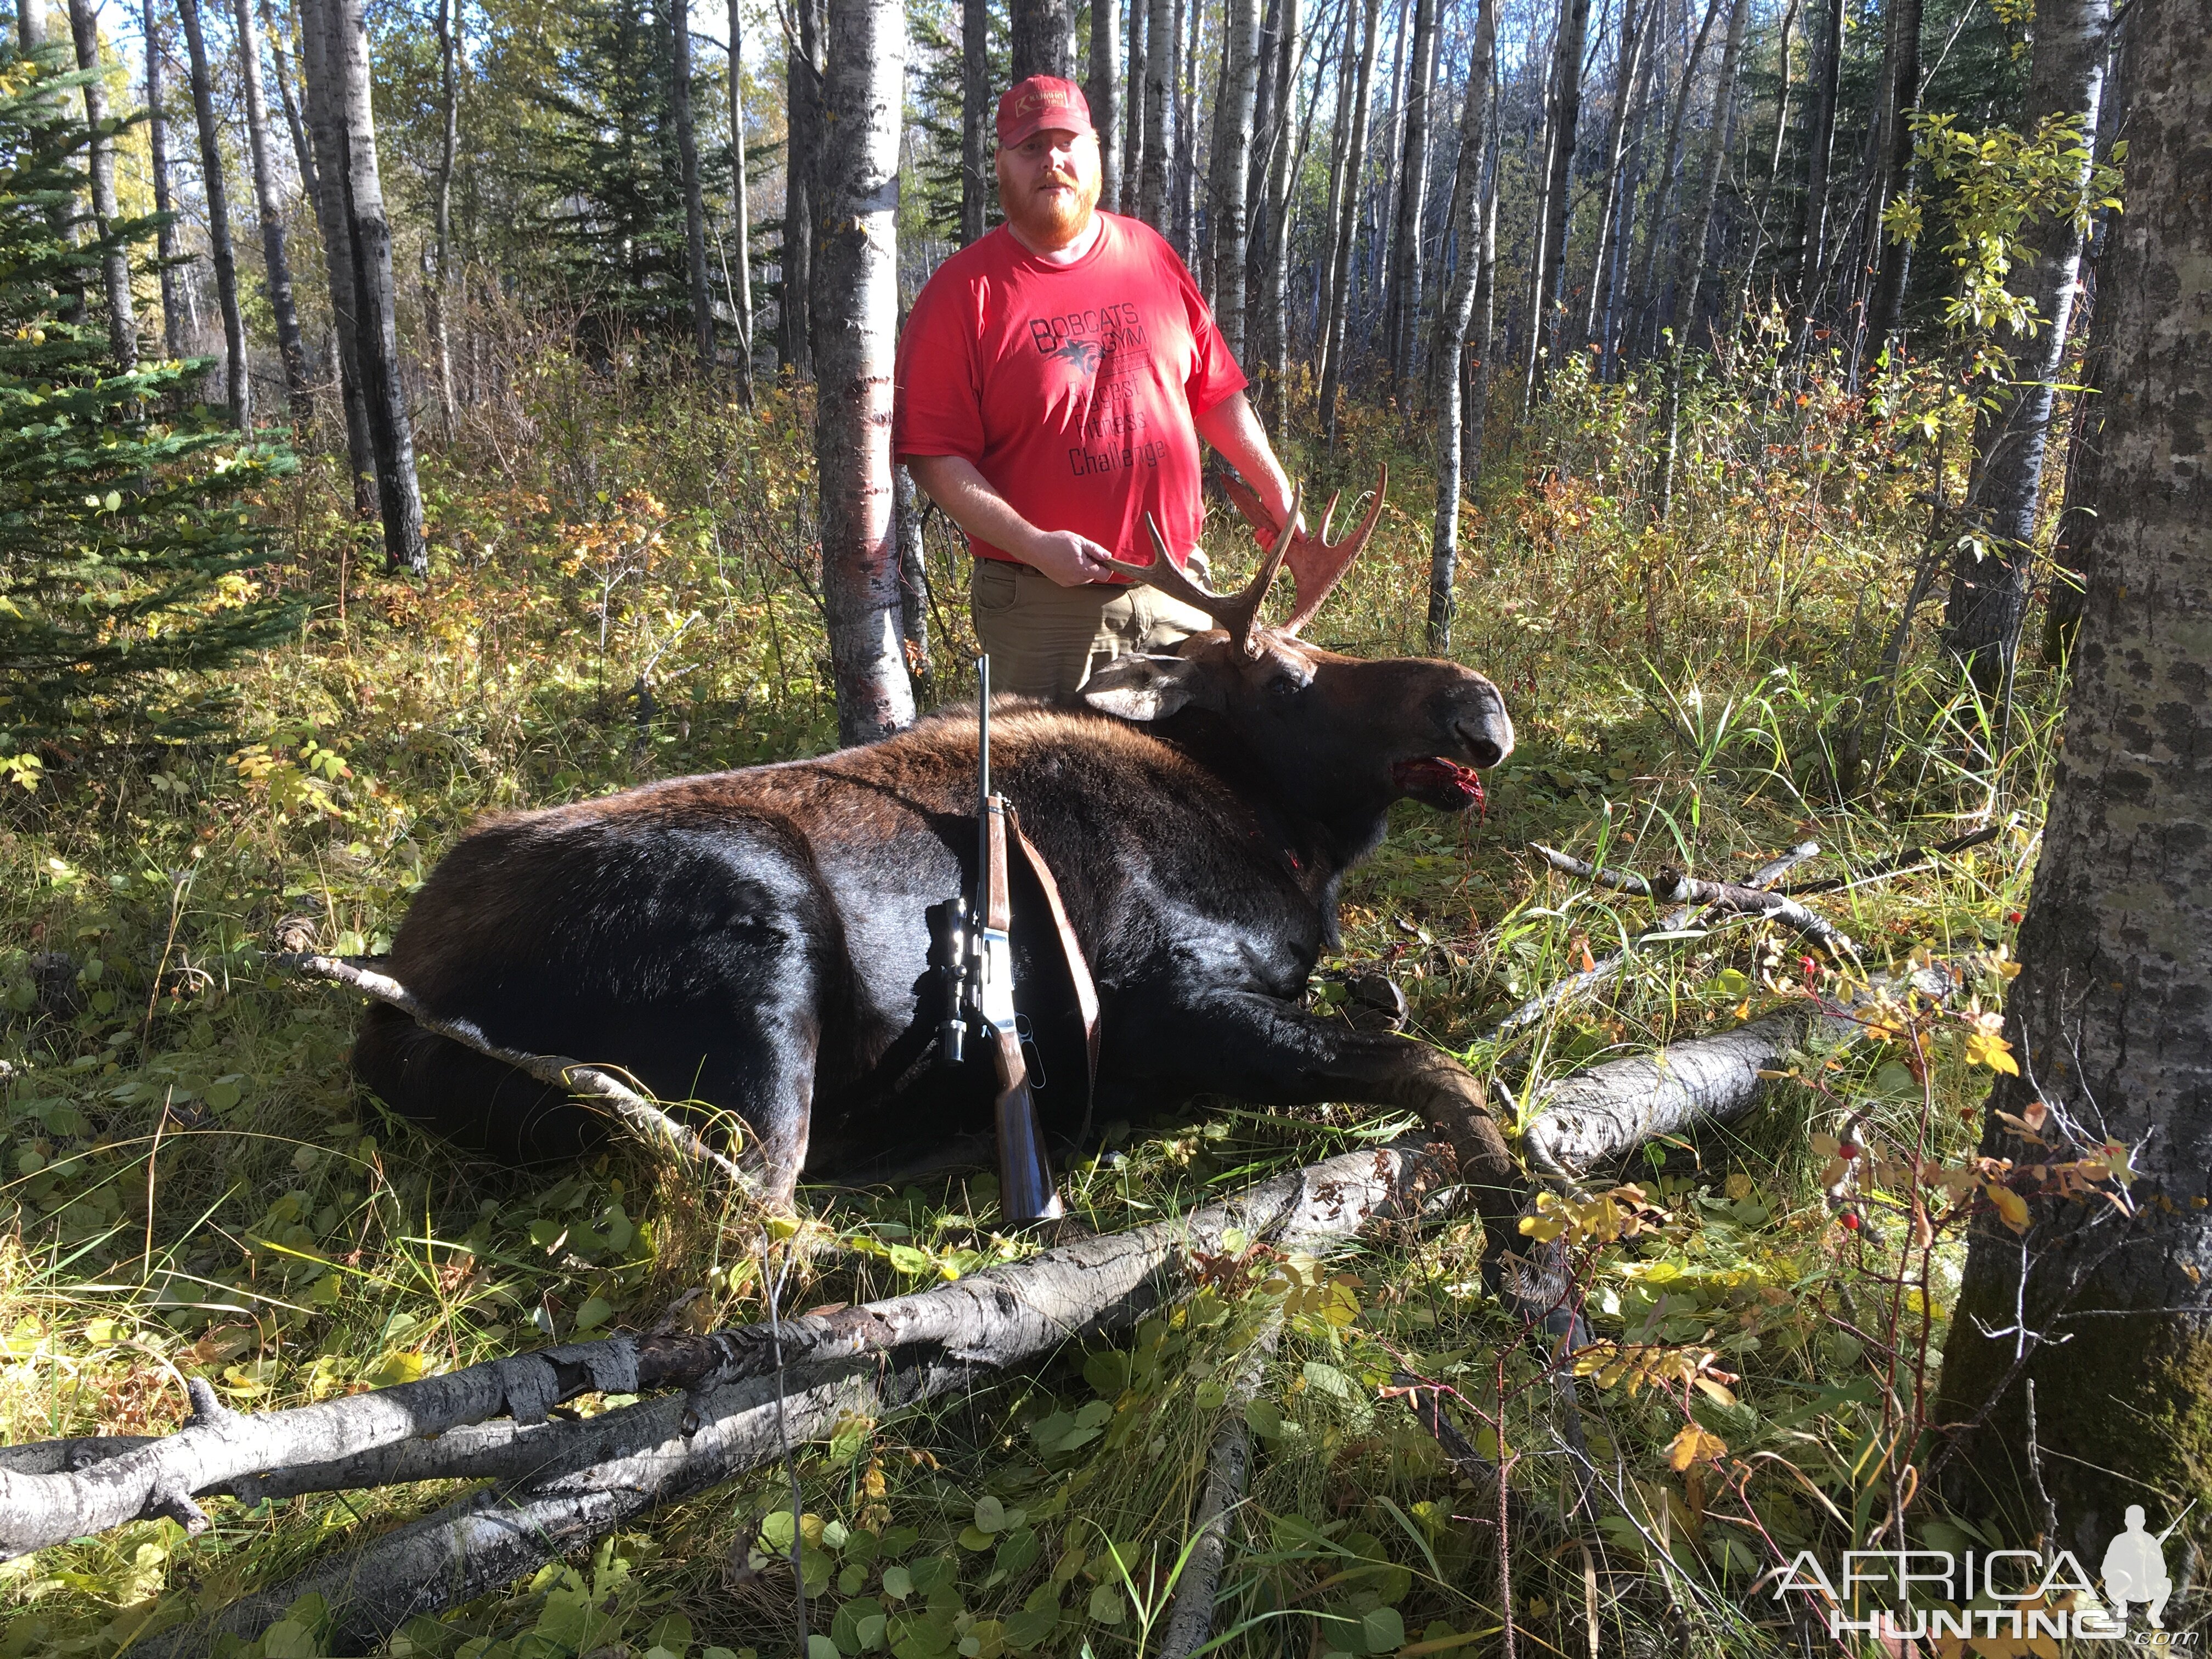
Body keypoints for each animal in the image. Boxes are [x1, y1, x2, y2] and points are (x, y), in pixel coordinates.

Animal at [354, 473, 1531, 1229]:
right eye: (1289, 677)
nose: (1480, 701)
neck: (1279, 838)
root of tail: (393, 1018)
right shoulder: (1162, 998)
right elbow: (1434, 1064)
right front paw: (1511, 1212)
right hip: (762, 961)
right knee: (757, 1208)